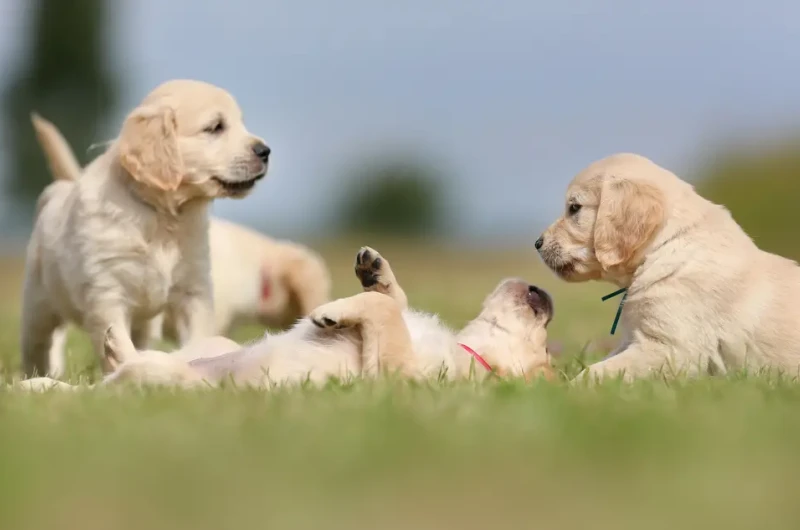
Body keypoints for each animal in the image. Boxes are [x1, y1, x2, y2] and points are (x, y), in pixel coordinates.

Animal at [18, 245, 556, 390]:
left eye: (545, 355)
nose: (545, 294)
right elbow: (393, 300)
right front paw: (374, 270)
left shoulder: (395, 378)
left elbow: (385, 310)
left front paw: (328, 314)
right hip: (217, 345)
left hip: (172, 383)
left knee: (116, 380)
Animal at [21, 79, 270, 376]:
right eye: (215, 127)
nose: (265, 151)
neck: (163, 217)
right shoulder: (107, 294)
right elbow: (116, 338)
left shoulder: (194, 291)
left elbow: (198, 337)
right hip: (38, 307)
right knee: (37, 346)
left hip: (145, 324)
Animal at [536, 152, 800, 380]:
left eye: (574, 208)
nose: (537, 243)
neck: (663, 248)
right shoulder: (633, 339)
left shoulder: (671, 348)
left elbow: (599, 371)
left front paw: (571, 389)